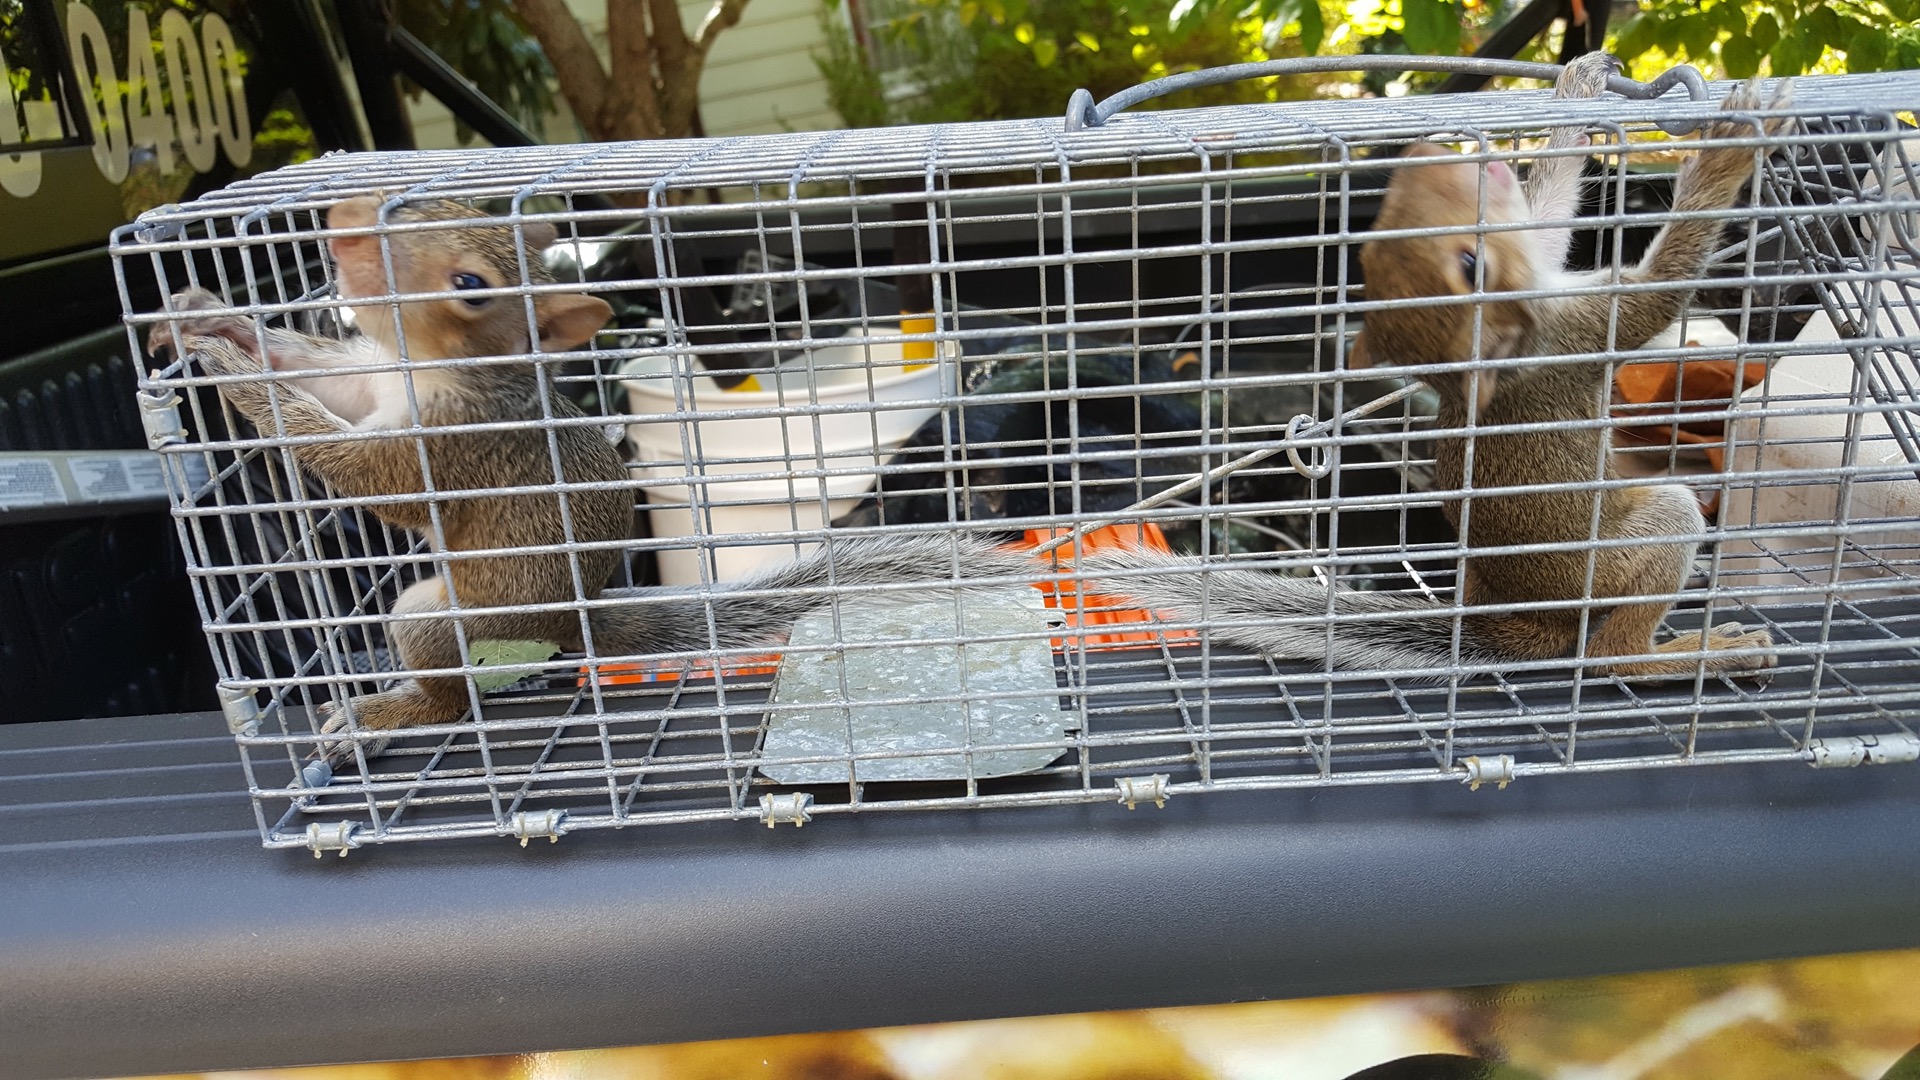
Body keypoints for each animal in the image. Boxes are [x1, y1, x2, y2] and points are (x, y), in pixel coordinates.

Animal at [149, 196, 1025, 761]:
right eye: (422, 206)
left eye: (471, 287)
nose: (347, 231)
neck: (432, 369)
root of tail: (576, 623)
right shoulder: (370, 384)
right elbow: (316, 374)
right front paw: (212, 317)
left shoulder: (451, 448)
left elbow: (353, 464)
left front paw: (232, 373)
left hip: (449, 616)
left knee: (452, 698)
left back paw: (385, 712)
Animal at [1081, 54, 1789, 679]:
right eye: (1465, 258)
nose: (1440, 156)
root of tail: (1518, 623)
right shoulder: (1586, 328)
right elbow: (1669, 276)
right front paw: (1731, 145)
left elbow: (1548, 214)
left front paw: (1575, 90)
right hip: (1639, 542)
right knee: (1613, 655)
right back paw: (1706, 652)